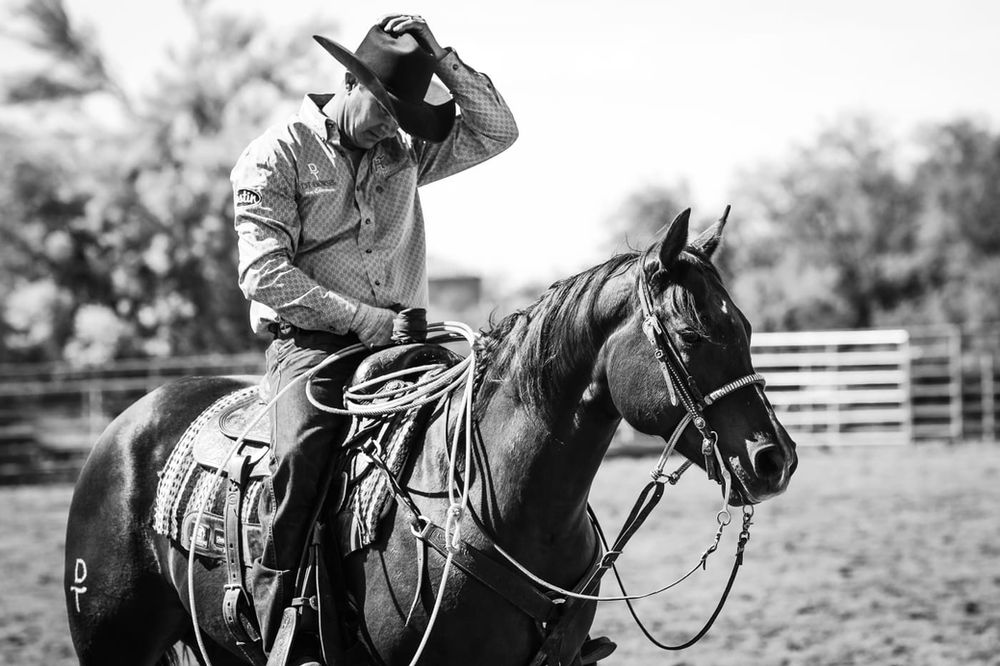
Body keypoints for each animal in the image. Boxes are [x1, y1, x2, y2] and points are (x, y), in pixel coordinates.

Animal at [64, 208, 797, 665]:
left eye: (745, 327)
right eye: (691, 334)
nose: (774, 459)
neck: (496, 504)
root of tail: (127, 425)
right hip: (113, 643)